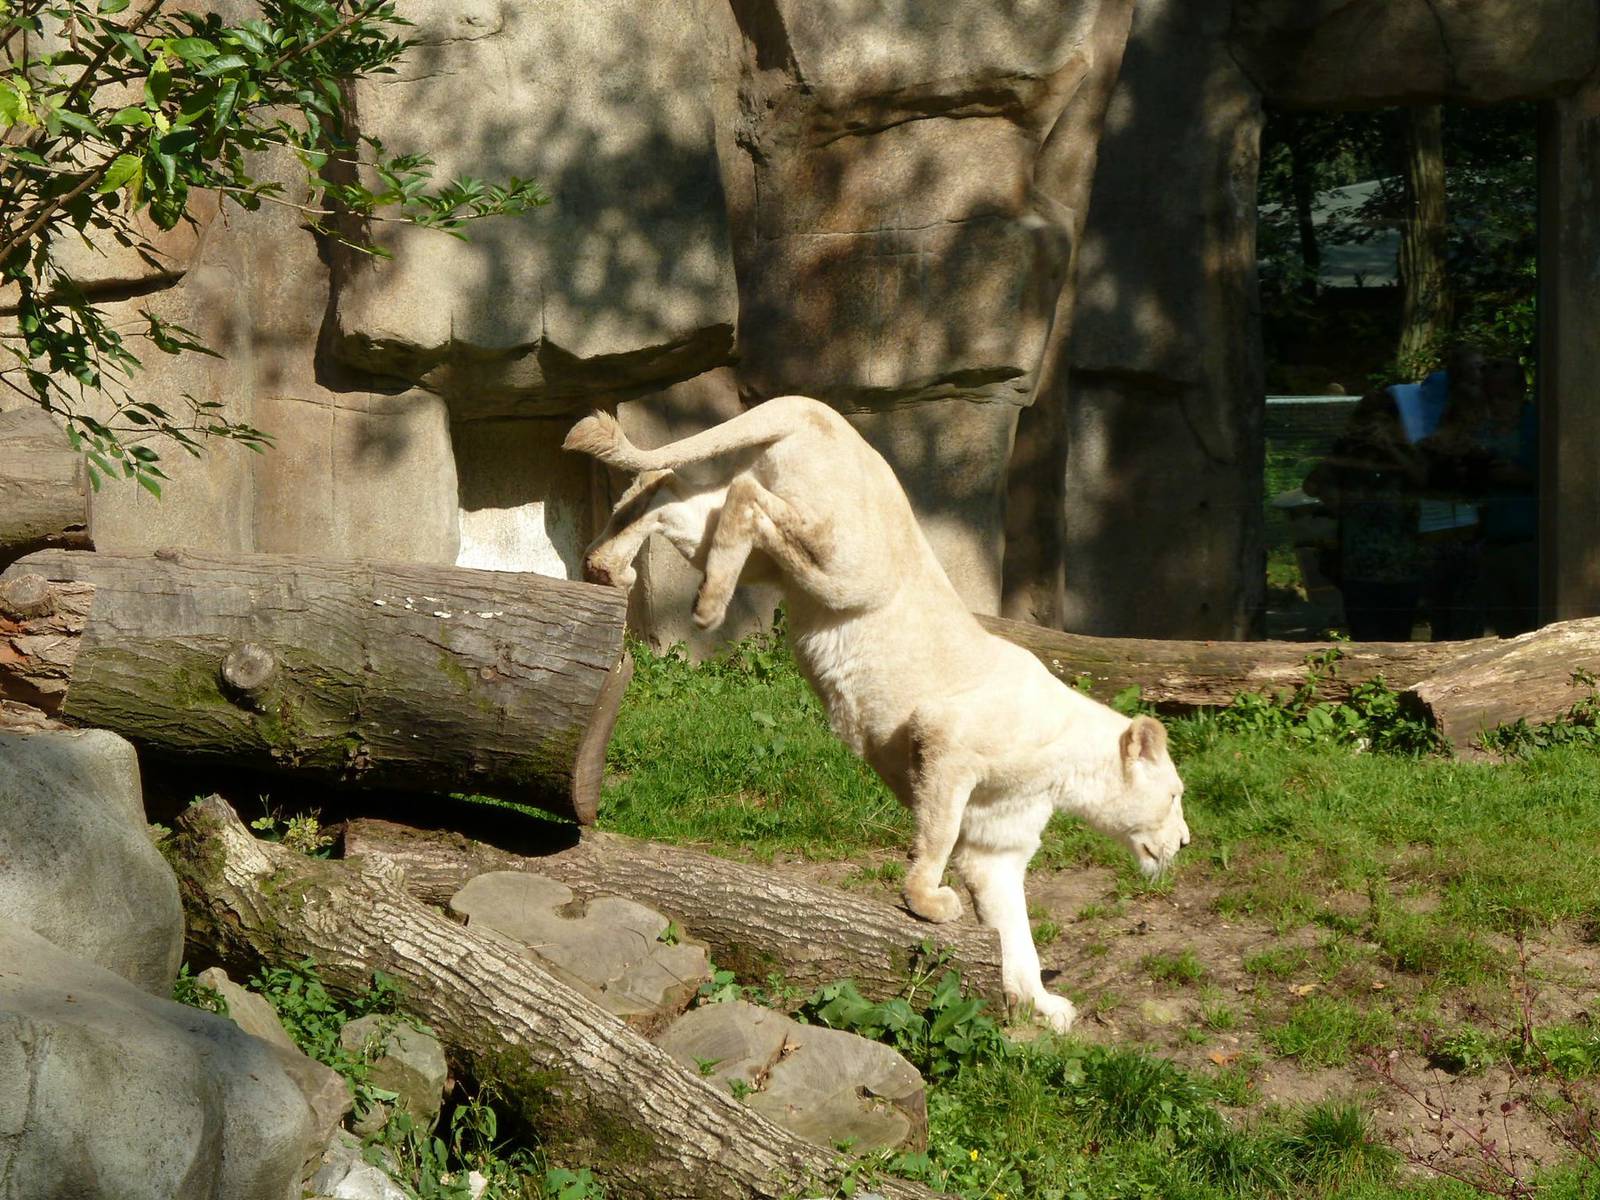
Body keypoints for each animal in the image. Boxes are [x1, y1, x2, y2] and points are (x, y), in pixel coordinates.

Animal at [564, 395, 1190, 1030]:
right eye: (1174, 795)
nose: (1186, 843)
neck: (1063, 771)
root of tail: (816, 411)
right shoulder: (947, 738)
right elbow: (939, 833)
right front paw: (930, 902)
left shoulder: (1001, 843)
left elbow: (1017, 929)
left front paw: (1045, 1006)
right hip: (852, 563)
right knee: (744, 495)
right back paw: (706, 605)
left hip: (759, 553)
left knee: (667, 491)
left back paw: (608, 565)